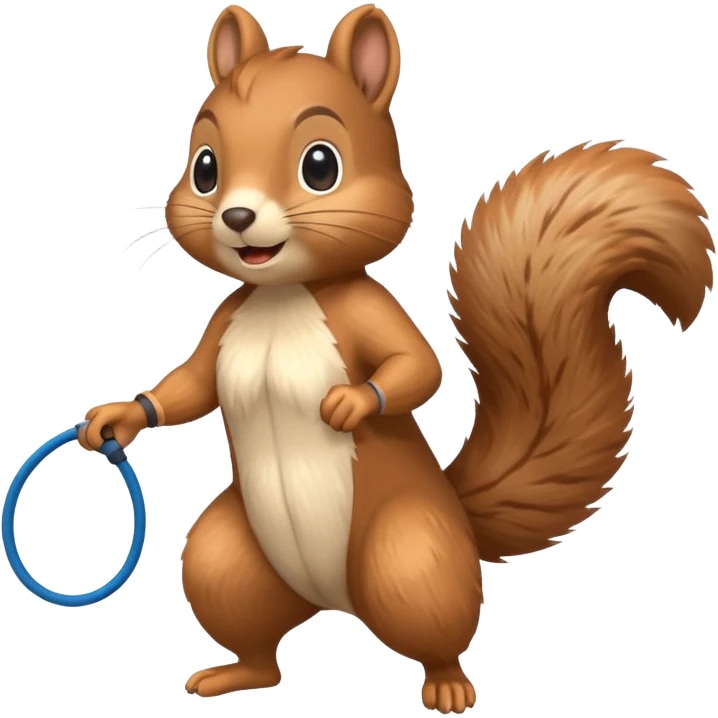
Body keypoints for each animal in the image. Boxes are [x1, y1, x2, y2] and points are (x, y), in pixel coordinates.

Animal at [80, 3, 715, 713]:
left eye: (321, 165)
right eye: (206, 167)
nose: (237, 216)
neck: (284, 294)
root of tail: (332, 602)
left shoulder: (369, 310)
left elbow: (417, 369)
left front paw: (349, 403)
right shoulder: (226, 322)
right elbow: (188, 386)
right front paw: (116, 418)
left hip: (411, 555)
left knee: (433, 627)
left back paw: (446, 686)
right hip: (226, 559)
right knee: (258, 645)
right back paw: (232, 675)